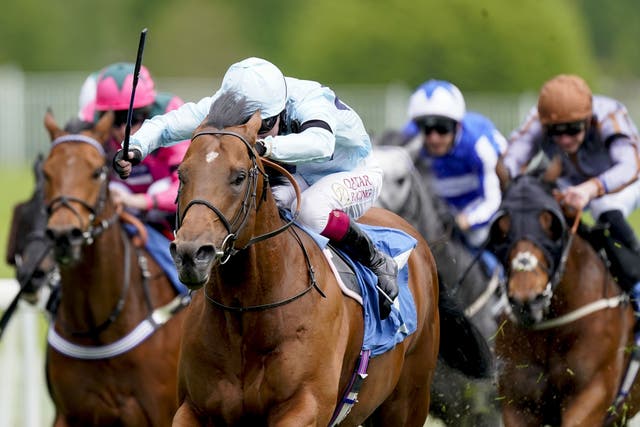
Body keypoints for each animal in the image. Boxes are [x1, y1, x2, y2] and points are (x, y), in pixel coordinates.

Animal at [41, 112, 188, 426]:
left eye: (97, 171)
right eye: (46, 172)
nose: (63, 235)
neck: (98, 329)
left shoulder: (161, 412)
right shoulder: (68, 414)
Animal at [166, 92, 490, 426]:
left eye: (239, 176)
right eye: (181, 174)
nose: (192, 253)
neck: (248, 309)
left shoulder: (305, 406)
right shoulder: (193, 408)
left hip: (408, 400)